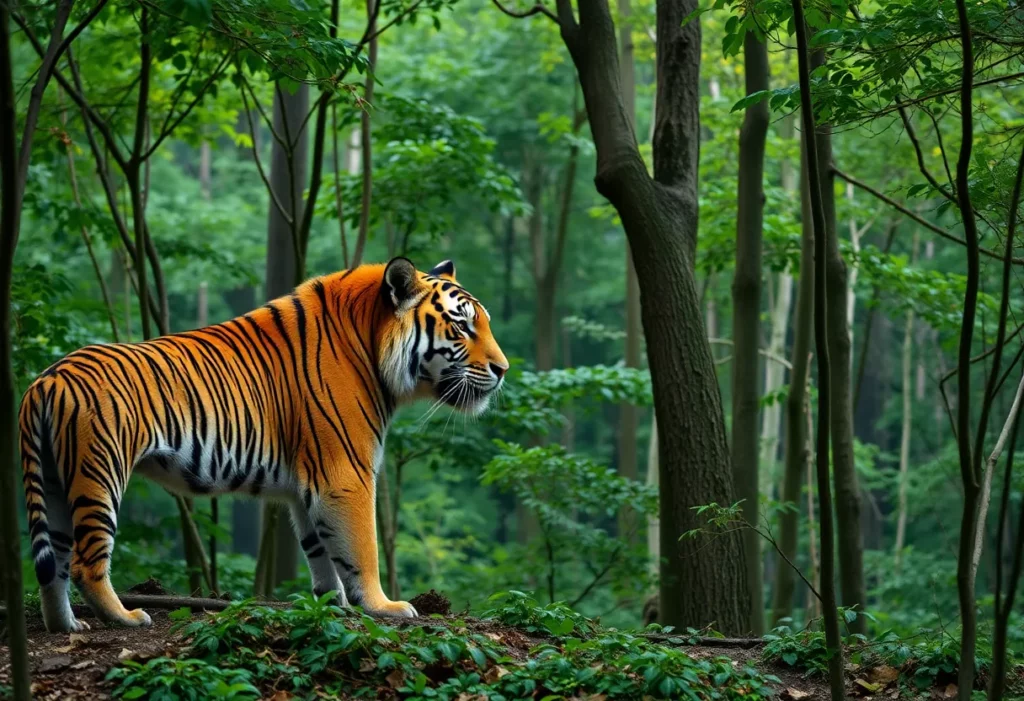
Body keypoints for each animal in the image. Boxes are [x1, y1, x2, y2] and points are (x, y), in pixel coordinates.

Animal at [19, 257, 508, 633]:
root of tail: (46, 380)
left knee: (53, 564)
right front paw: (384, 606)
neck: (372, 345)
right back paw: (126, 618)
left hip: (57, 485)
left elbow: (321, 551)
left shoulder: (309, 485)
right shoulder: (346, 473)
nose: (503, 370)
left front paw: (332, 606)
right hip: (99, 476)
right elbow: (361, 548)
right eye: (462, 328)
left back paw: (67, 626)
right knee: (85, 563)